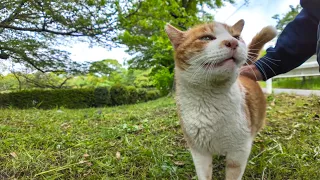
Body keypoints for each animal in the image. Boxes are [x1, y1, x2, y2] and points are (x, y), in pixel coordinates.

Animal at [166, 20, 276, 180]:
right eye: (206, 38)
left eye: (236, 37)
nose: (233, 42)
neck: (210, 100)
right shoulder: (199, 153)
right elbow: (204, 175)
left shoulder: (239, 151)